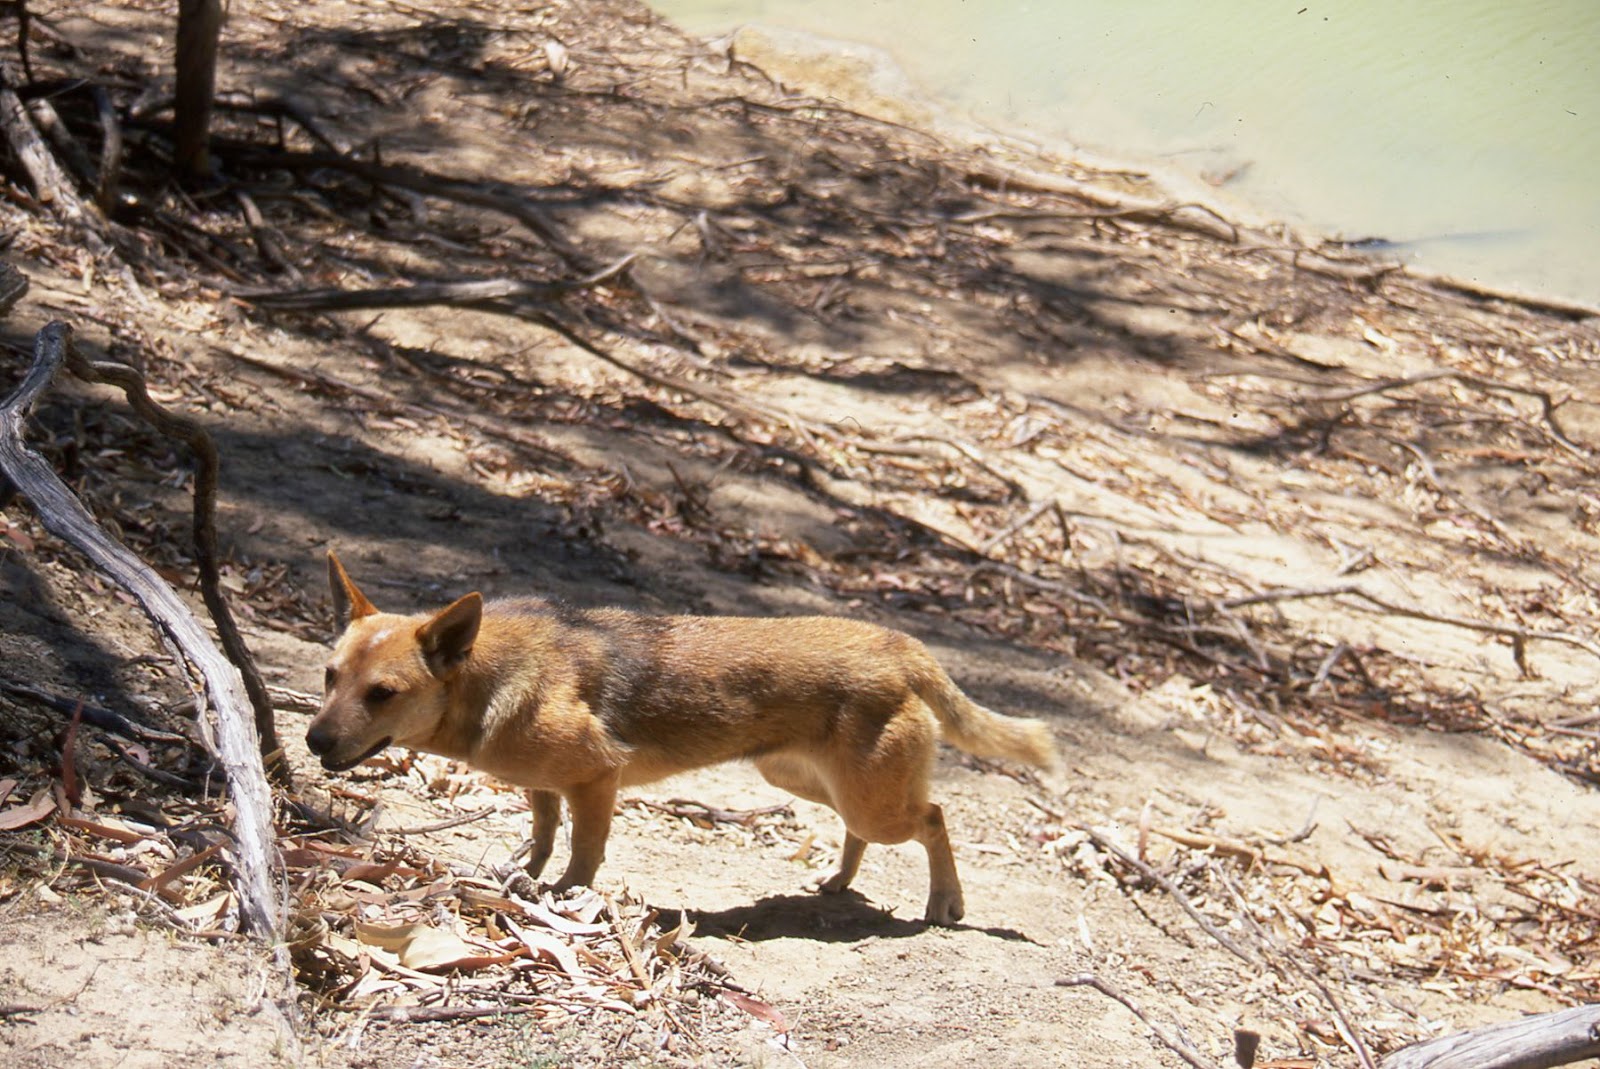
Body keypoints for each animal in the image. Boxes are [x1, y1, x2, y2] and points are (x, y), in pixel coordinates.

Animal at [306, 551, 1057, 924]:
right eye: (330, 675)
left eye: (383, 694)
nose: (312, 742)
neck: (491, 677)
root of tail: (898, 645)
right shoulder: (544, 784)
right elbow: (543, 834)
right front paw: (524, 871)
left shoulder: (596, 777)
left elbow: (583, 854)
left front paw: (564, 899)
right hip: (810, 780)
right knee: (865, 828)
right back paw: (840, 880)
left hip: (871, 797)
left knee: (934, 817)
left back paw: (945, 902)